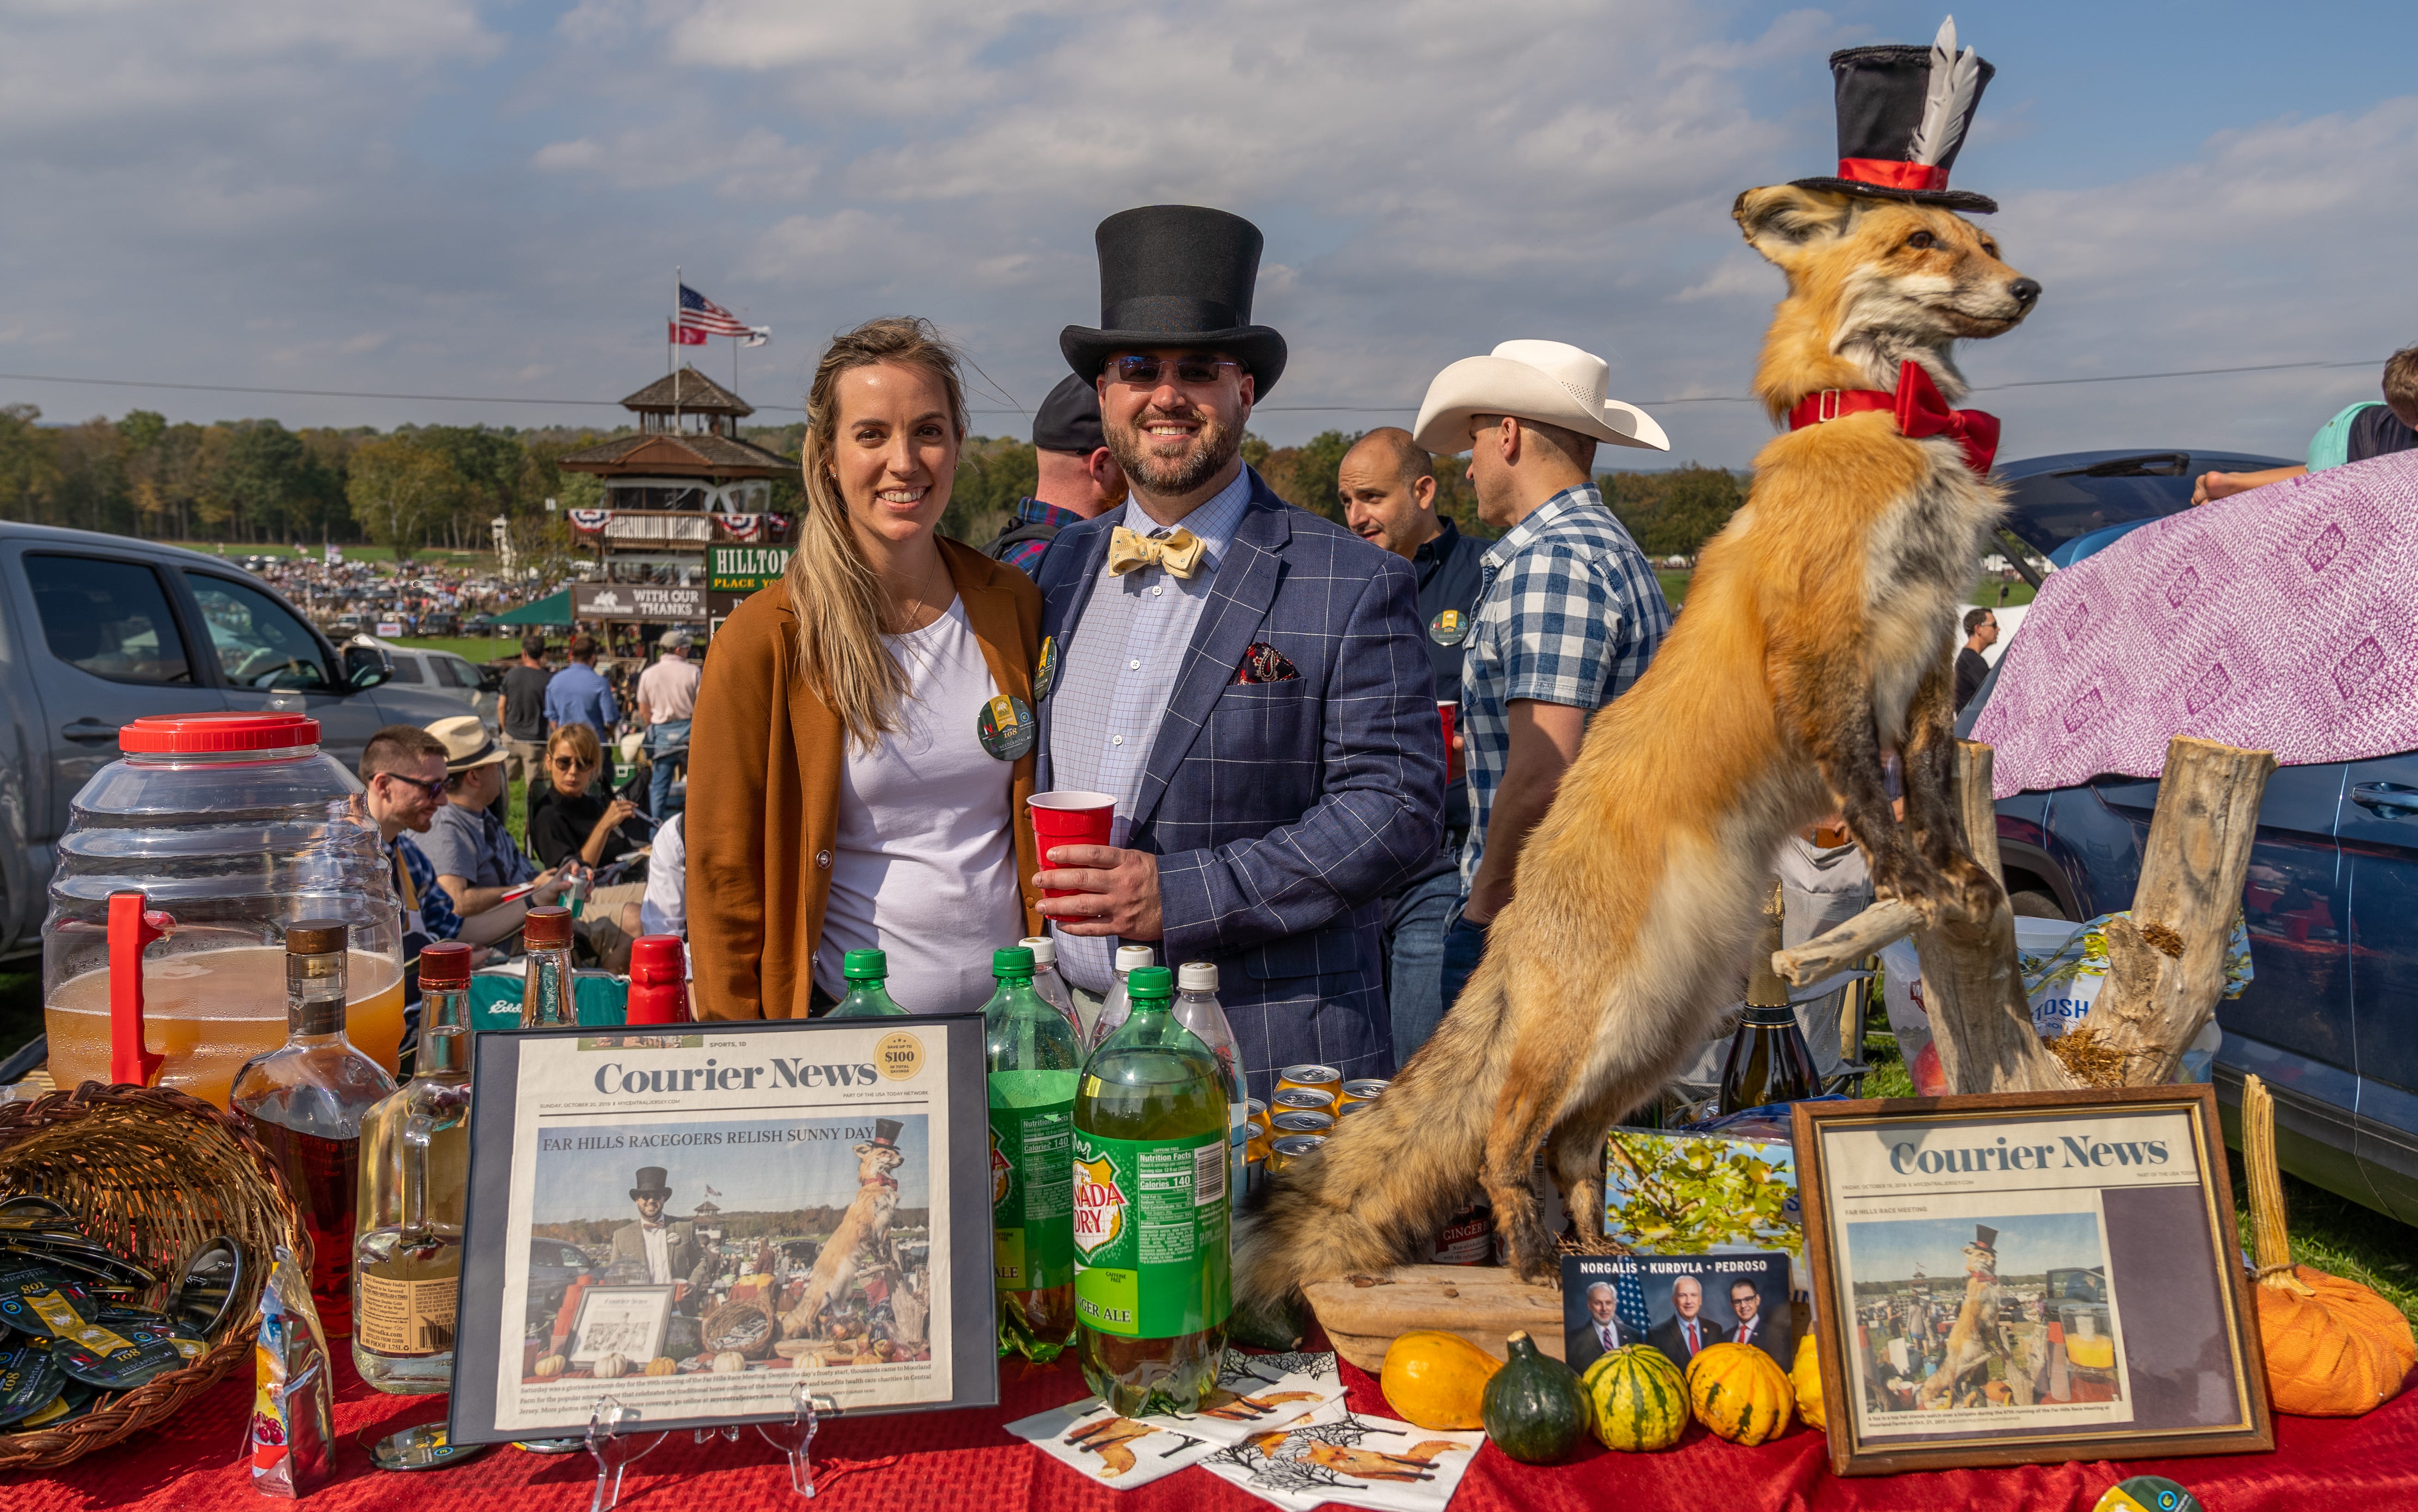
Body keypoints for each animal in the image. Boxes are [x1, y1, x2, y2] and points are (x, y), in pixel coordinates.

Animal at [1238, 182, 2050, 1306]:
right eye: (1922, 241)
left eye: (1987, 241)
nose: (2027, 289)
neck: (1886, 438)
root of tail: (1515, 897)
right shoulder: (1826, 650)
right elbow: (1867, 788)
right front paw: (1914, 881)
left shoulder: (1928, 648)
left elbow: (1926, 784)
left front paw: (1957, 877)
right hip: (1596, 1027)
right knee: (1505, 1141)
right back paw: (1534, 1263)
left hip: (1661, 1030)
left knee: (1574, 1151)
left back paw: (1601, 1261)